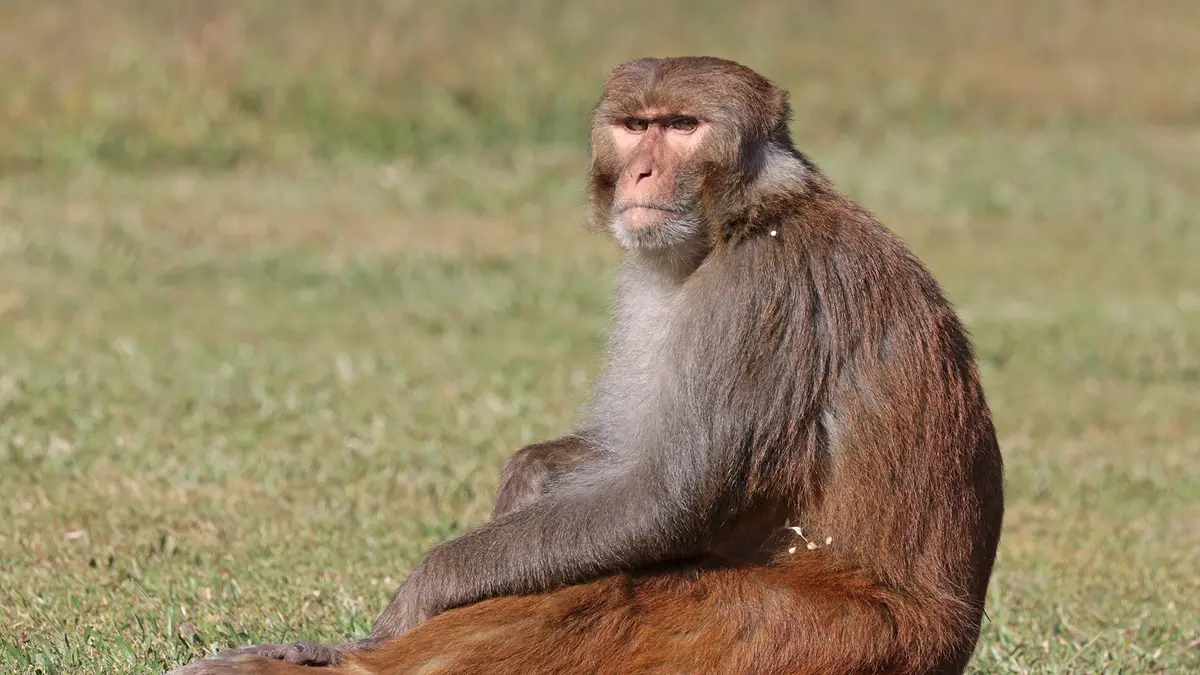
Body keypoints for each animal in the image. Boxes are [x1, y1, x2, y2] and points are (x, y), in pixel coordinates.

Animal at [169, 56, 1004, 675]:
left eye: (682, 126)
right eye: (636, 127)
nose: (641, 176)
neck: (740, 220)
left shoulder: (762, 290)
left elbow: (663, 497)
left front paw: (414, 600)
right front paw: (529, 474)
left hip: (807, 635)